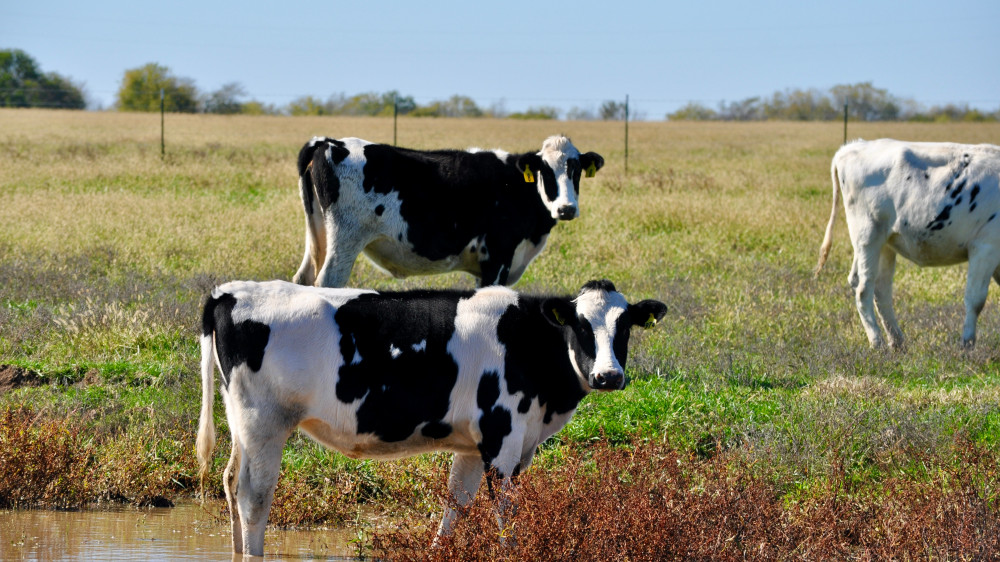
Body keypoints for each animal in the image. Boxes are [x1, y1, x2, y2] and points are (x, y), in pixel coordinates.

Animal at [194, 278, 664, 552]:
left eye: (625, 327)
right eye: (581, 326)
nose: (608, 376)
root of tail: (229, 291)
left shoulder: (475, 447)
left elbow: (455, 508)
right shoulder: (502, 438)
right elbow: (506, 520)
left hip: (241, 422)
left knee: (230, 481)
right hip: (265, 424)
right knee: (253, 497)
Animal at [288, 133, 600, 286]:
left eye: (576, 171)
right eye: (544, 171)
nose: (566, 209)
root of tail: (328, 142)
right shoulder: (498, 256)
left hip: (317, 233)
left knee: (303, 279)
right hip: (345, 241)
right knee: (328, 282)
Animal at [812, 138, 1000, 346]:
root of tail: (854, 146)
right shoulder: (986, 247)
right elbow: (976, 300)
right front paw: (967, 344)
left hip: (883, 243)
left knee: (878, 287)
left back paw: (897, 340)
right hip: (867, 236)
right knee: (863, 288)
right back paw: (877, 341)